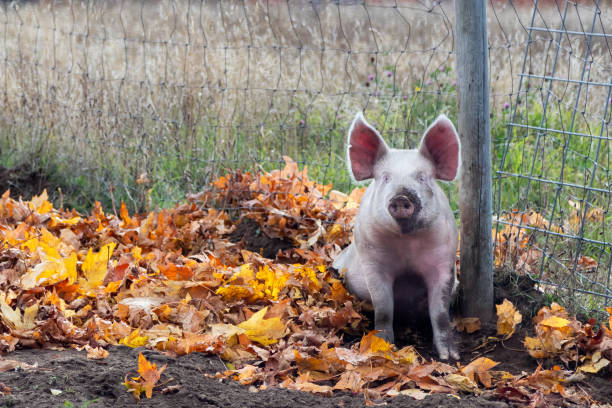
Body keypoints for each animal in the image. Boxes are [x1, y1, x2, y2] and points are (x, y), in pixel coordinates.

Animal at [334, 111, 460, 360]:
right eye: (385, 178)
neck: (406, 243)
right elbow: (383, 308)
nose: (401, 197)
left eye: (422, 177)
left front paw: (450, 357)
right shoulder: (372, 260)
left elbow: (440, 313)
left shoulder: (445, 259)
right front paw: (383, 347)